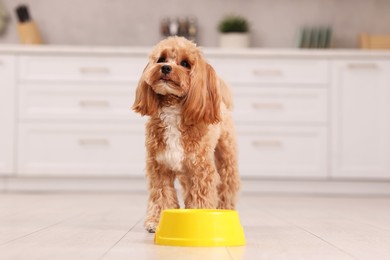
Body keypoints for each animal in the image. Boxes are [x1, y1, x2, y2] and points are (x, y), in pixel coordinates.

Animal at [133, 35, 239, 233]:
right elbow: (161, 195)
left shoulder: (201, 170)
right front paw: (156, 222)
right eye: (161, 59)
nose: (166, 68)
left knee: (228, 187)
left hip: (225, 158)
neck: (173, 109)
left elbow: (202, 197)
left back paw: (226, 210)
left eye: (185, 63)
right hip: (185, 172)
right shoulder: (159, 167)